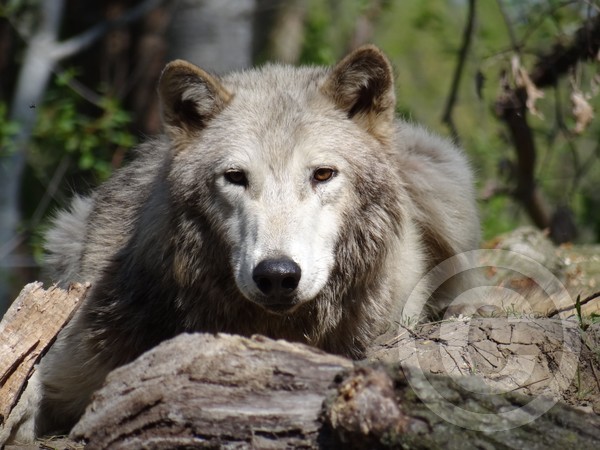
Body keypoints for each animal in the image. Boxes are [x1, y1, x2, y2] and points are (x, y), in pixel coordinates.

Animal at [1, 44, 478, 440]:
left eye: (323, 174)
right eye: (235, 177)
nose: (278, 275)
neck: (275, 330)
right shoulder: (72, 362)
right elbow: (29, 386)